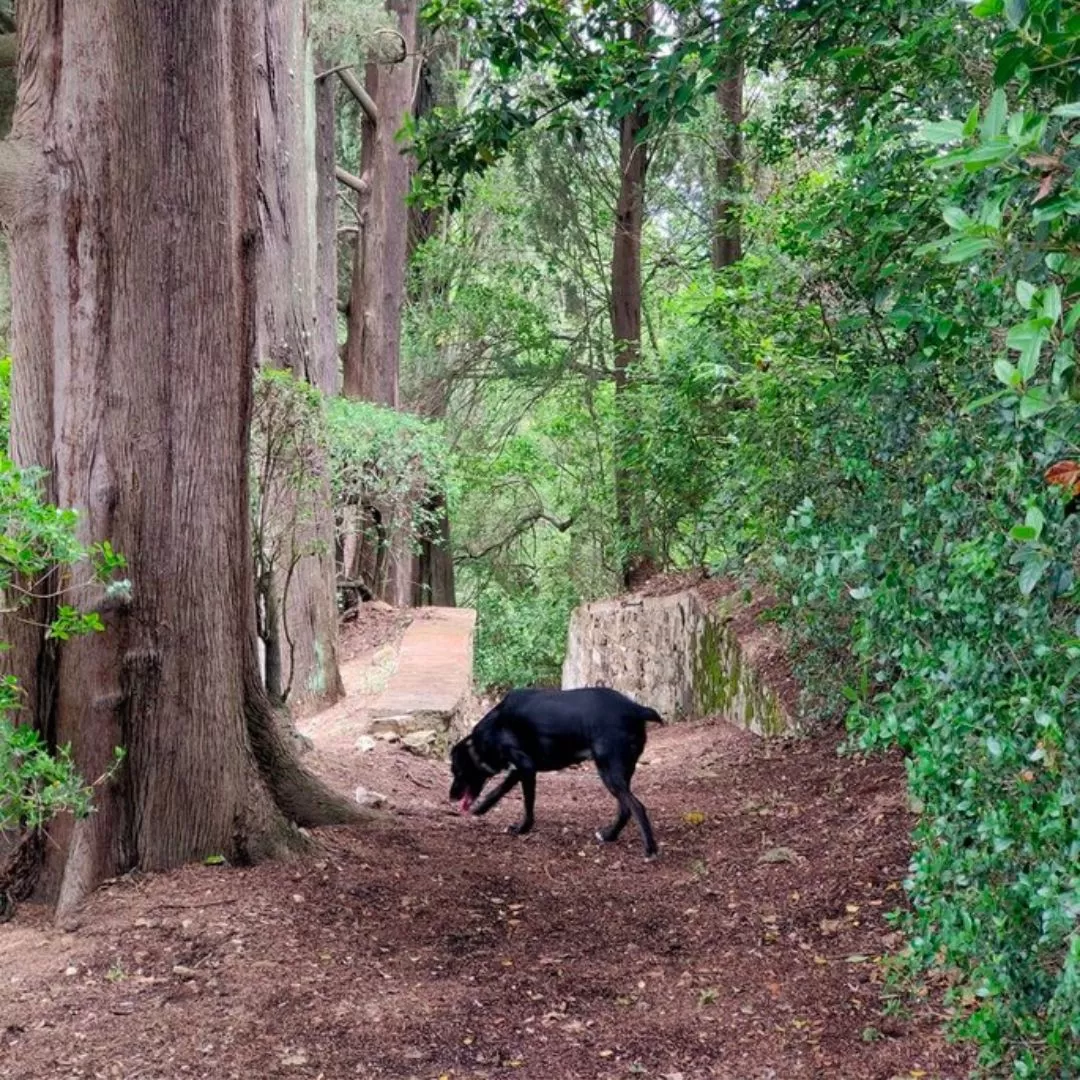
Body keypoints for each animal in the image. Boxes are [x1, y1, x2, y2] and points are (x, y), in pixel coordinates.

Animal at [451, 686, 660, 855]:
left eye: (457, 771)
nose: (451, 797)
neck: (491, 731)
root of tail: (636, 709)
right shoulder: (521, 769)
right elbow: (498, 790)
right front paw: (482, 808)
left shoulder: (526, 767)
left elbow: (527, 804)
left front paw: (523, 828)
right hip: (620, 773)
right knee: (625, 809)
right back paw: (610, 835)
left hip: (609, 772)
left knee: (637, 807)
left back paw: (650, 849)